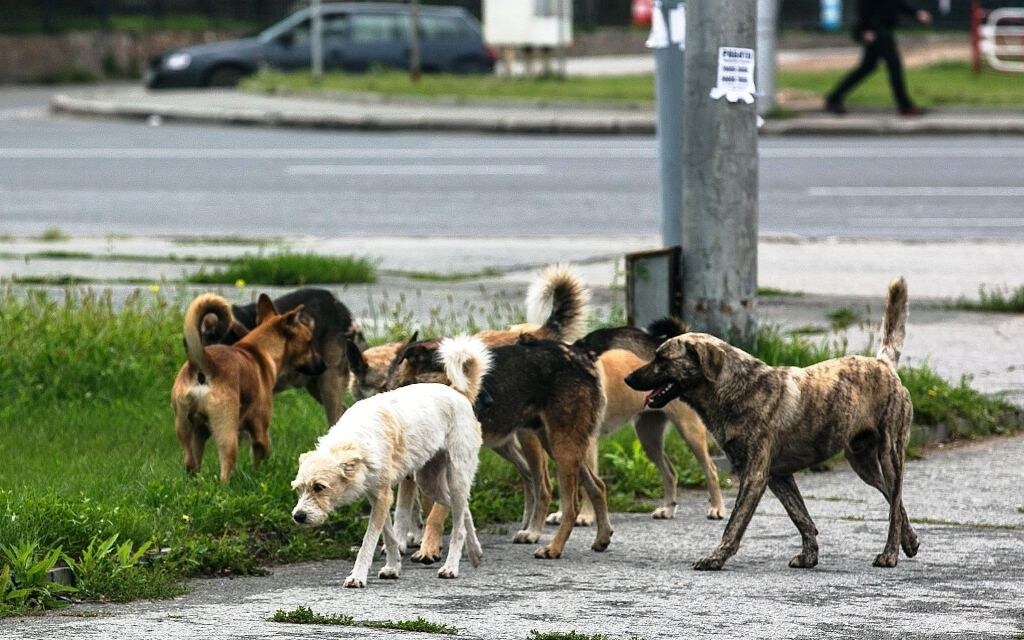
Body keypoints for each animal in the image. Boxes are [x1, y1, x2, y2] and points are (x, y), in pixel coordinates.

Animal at [172, 292, 323, 481]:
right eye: (309, 342)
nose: (324, 365)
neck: (259, 351)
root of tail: (203, 364)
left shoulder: (200, 433)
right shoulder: (260, 433)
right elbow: (260, 458)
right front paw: (260, 476)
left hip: (186, 430)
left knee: (191, 463)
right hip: (227, 433)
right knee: (225, 468)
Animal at [292, 333, 491, 589]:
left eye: (319, 487)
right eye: (299, 489)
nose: (298, 516)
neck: (356, 440)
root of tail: (458, 393)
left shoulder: (383, 497)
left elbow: (369, 540)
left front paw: (358, 575)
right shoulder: (378, 496)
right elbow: (389, 535)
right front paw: (393, 567)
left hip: (456, 476)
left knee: (457, 526)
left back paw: (451, 567)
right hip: (429, 482)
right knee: (463, 510)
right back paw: (475, 551)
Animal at [626, 278, 917, 569]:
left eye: (662, 358)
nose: (628, 378)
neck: (736, 388)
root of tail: (883, 364)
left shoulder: (754, 477)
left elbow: (734, 523)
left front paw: (716, 557)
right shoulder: (778, 476)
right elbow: (801, 516)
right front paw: (809, 555)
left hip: (890, 455)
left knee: (894, 503)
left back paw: (890, 554)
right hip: (862, 463)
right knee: (895, 500)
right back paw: (910, 541)